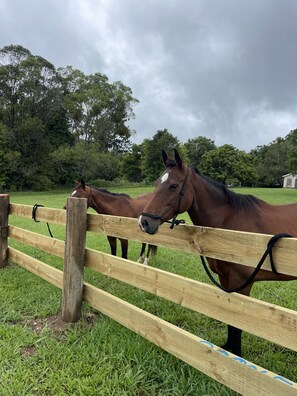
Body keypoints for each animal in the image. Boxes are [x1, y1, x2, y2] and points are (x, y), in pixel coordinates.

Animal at [138, 150, 296, 358]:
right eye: (156, 184)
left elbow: (237, 325)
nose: (144, 222)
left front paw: (236, 356)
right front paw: (228, 349)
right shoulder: (225, 279)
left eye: (173, 185)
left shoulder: (241, 284)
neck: (231, 227)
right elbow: (228, 318)